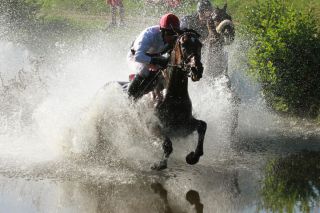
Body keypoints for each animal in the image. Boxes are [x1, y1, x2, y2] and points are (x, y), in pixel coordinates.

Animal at [150, 30, 208, 171]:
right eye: (184, 46)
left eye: (200, 45)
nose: (197, 69)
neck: (174, 96)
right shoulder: (152, 125)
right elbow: (167, 144)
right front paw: (160, 164)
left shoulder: (183, 127)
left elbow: (202, 125)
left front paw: (193, 157)